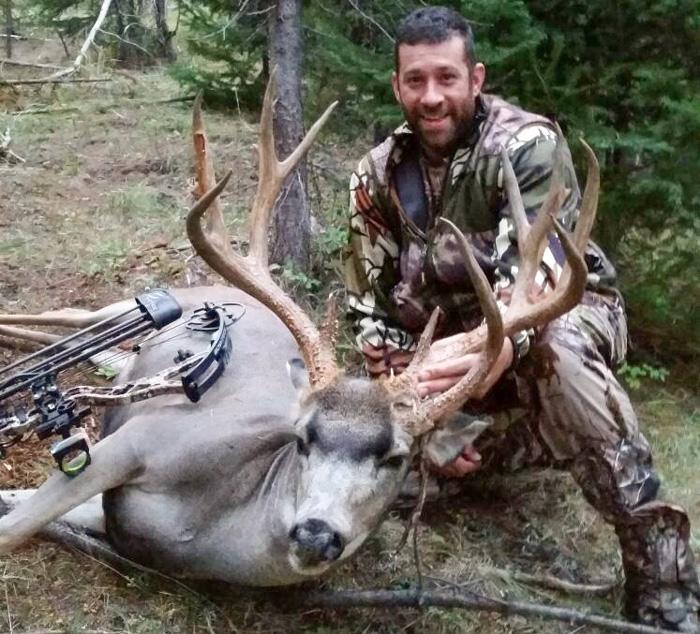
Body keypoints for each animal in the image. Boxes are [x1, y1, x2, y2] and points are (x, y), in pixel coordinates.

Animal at [0, 76, 599, 586]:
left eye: (396, 457)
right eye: (304, 438)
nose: (316, 534)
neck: (208, 526)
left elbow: (16, 506)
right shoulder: (144, 438)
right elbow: (13, 528)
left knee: (95, 354)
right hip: (125, 307)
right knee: (65, 319)